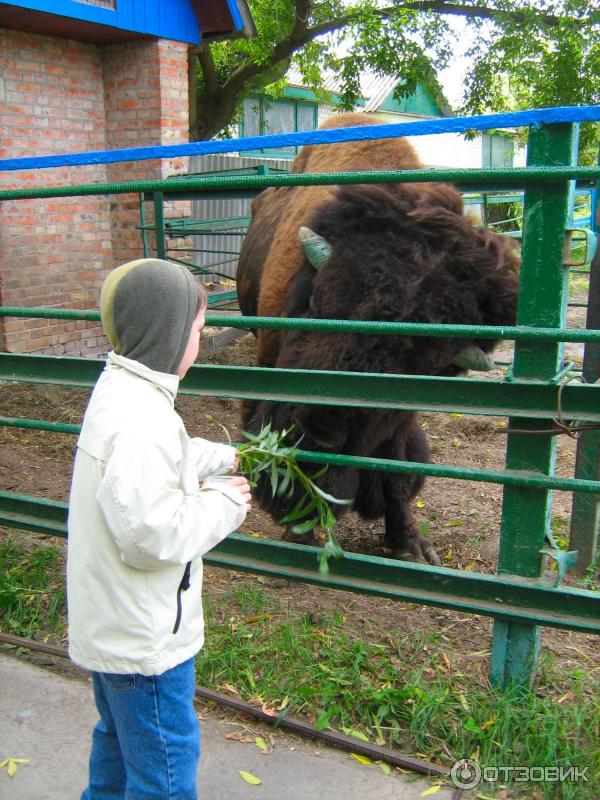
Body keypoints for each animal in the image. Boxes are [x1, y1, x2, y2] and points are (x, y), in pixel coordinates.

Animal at [237, 112, 516, 564]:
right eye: (317, 302)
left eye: (418, 368)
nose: (316, 432)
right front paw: (300, 537)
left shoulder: (402, 421)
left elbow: (397, 473)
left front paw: (411, 546)